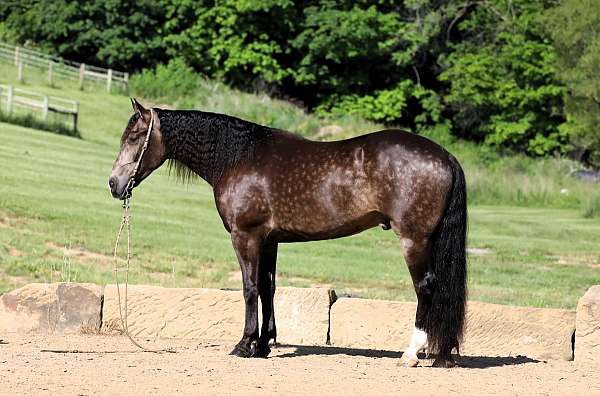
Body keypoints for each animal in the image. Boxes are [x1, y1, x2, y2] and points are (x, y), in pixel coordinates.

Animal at [109, 99, 468, 368]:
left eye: (134, 137)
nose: (114, 184)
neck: (238, 158)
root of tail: (445, 156)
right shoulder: (269, 241)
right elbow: (268, 289)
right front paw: (263, 345)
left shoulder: (245, 236)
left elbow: (250, 288)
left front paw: (244, 344)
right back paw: (443, 355)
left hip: (414, 240)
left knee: (425, 288)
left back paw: (411, 353)